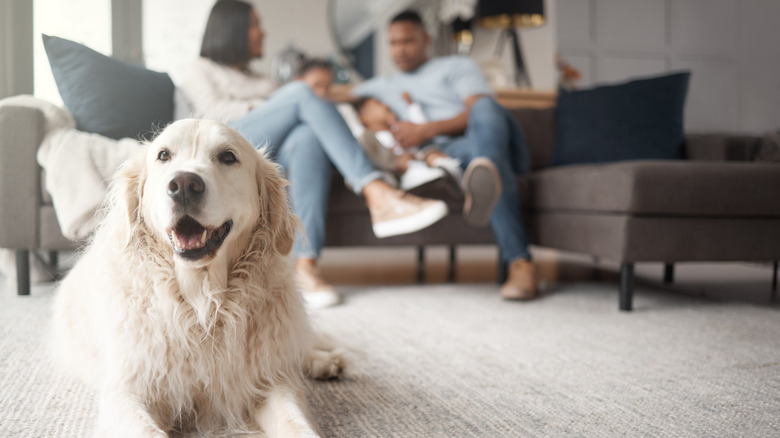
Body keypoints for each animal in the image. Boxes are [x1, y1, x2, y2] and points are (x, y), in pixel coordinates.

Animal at [49, 120, 342, 438]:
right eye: (163, 155)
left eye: (228, 157)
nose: (184, 186)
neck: (202, 302)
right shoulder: (127, 391)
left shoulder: (268, 382)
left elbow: (297, 423)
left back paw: (324, 361)